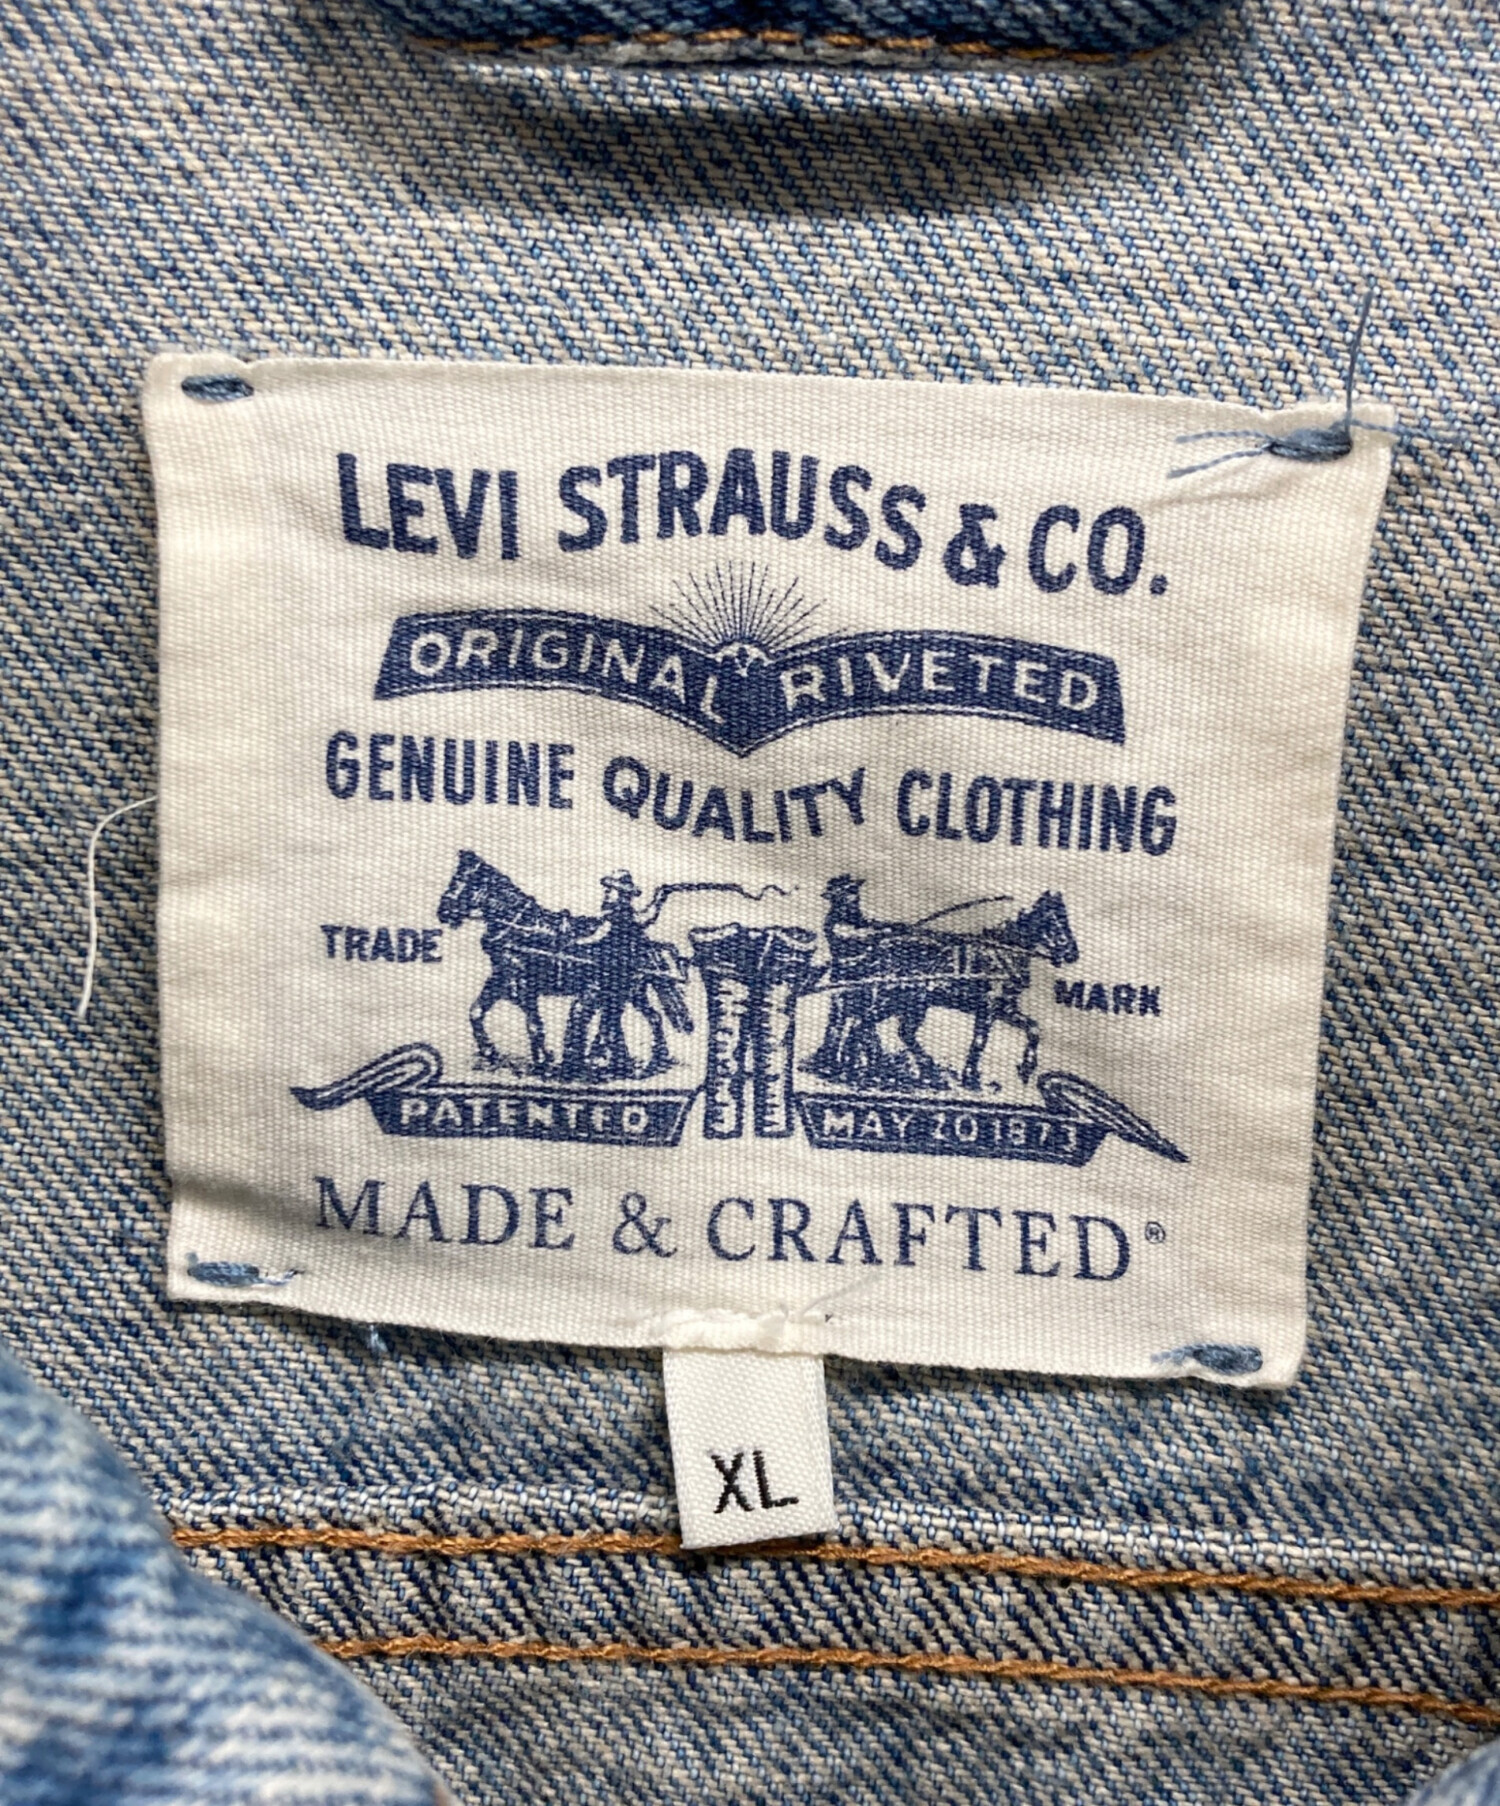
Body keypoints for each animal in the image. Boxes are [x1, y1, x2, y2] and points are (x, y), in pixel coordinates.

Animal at [435, 851, 692, 1080]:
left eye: (461, 881)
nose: (443, 912)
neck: (518, 928)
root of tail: (644, 943)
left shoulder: (526, 985)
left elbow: (534, 1024)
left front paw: (544, 1062)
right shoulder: (501, 978)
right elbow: (476, 1012)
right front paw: (491, 1052)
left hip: (625, 991)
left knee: (631, 1019)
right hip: (631, 993)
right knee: (643, 1018)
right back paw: (637, 1061)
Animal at [802, 877, 1079, 1093]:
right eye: (1057, 923)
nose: (1072, 955)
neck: (1002, 954)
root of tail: (877, 951)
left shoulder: (1005, 1008)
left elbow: (1033, 1028)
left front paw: (1026, 1068)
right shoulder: (987, 1008)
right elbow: (980, 1041)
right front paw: (971, 1078)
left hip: (912, 1003)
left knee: (882, 1028)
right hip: (897, 999)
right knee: (863, 1023)